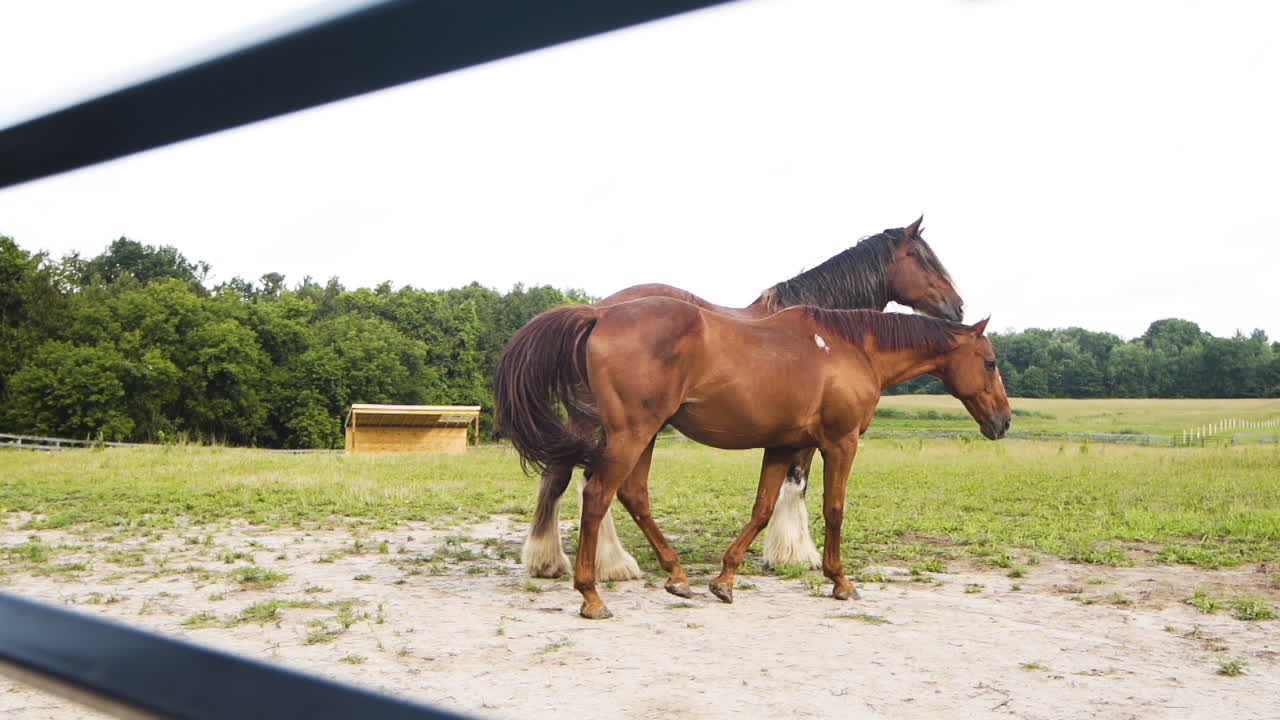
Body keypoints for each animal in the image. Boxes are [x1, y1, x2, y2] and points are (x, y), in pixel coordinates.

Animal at [495, 297, 1010, 619]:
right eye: (989, 362)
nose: (1002, 421)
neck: (850, 348)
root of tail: (598, 315)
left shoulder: (781, 446)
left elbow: (762, 510)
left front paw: (724, 579)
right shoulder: (840, 443)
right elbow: (834, 509)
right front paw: (840, 581)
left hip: (645, 435)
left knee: (632, 495)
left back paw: (677, 575)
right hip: (632, 435)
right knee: (599, 494)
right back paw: (592, 595)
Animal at [521, 216, 965, 582]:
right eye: (922, 258)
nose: (957, 307)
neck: (825, 331)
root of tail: (595, 312)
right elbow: (796, 485)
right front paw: (795, 554)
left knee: (569, 477)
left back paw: (558, 561)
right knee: (583, 481)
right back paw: (607, 563)